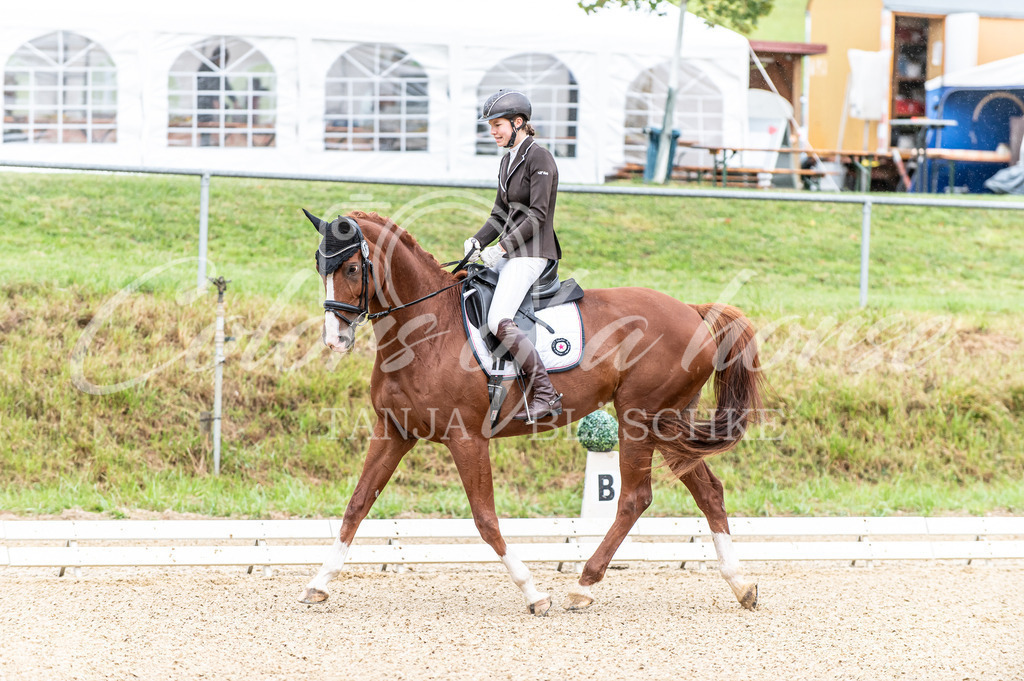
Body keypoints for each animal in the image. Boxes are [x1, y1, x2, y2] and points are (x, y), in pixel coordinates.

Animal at [299, 209, 765, 614]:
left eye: (352, 269)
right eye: (321, 266)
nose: (335, 339)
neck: (424, 330)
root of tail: (693, 311)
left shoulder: (466, 439)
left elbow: (485, 519)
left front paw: (533, 592)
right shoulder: (393, 431)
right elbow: (357, 505)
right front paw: (318, 584)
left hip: (640, 419)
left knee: (635, 498)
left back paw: (583, 586)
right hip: (665, 424)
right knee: (708, 491)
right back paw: (741, 585)